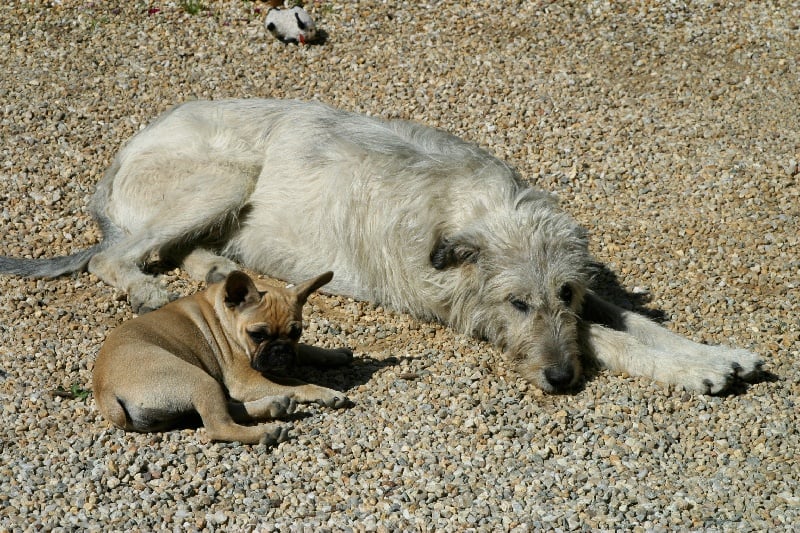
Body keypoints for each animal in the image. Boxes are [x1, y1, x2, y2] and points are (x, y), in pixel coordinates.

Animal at [0, 97, 764, 392]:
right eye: (518, 304)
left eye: (565, 292)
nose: (558, 379)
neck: (474, 208)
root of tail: (114, 164)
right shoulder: (468, 311)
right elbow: (608, 337)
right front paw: (695, 371)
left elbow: (626, 318)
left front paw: (715, 352)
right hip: (223, 175)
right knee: (115, 256)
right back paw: (146, 286)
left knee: (184, 249)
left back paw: (216, 267)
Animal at [93, 270, 350, 444]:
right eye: (257, 335)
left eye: (296, 332)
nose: (280, 350)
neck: (224, 316)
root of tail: (104, 392)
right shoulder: (246, 381)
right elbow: (296, 383)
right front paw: (326, 392)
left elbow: (306, 350)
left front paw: (334, 355)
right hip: (200, 379)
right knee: (219, 425)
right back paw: (266, 431)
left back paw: (274, 406)